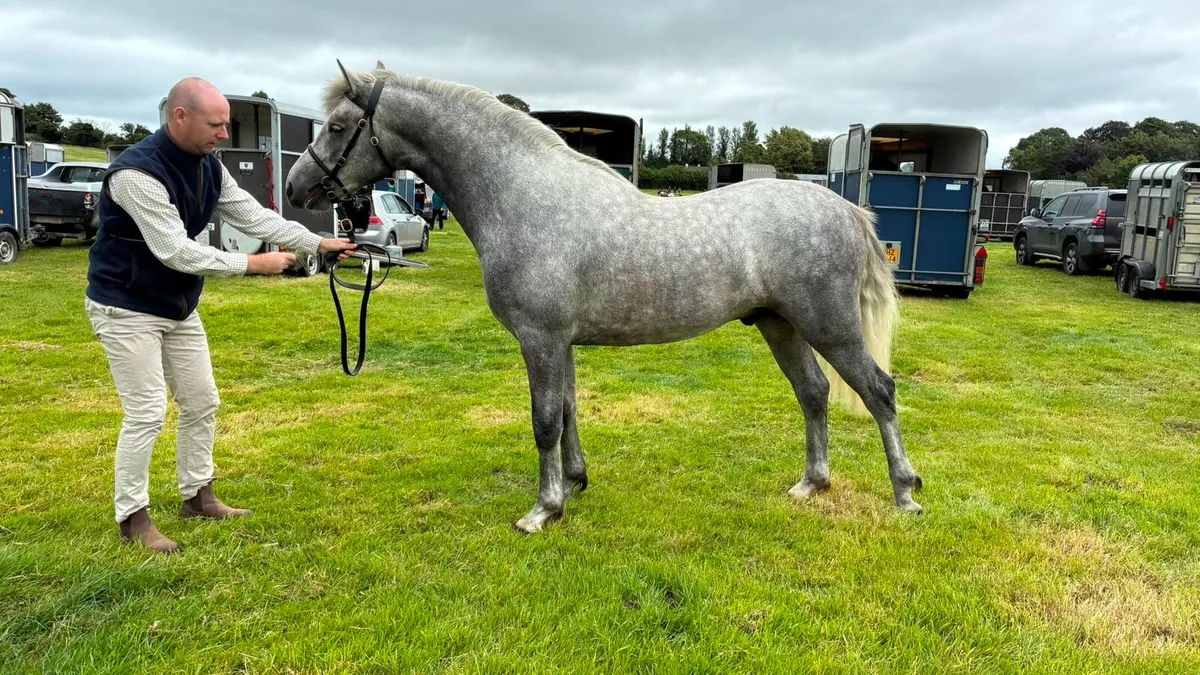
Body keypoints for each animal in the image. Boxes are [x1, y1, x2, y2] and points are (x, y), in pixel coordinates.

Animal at [284, 61, 924, 533]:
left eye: (337, 127)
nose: (296, 187)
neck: (524, 196)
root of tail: (847, 209)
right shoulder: (560, 342)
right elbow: (568, 411)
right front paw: (574, 483)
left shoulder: (540, 340)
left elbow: (544, 419)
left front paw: (542, 510)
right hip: (778, 323)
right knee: (814, 393)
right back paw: (812, 483)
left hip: (828, 325)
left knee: (878, 392)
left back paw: (906, 493)